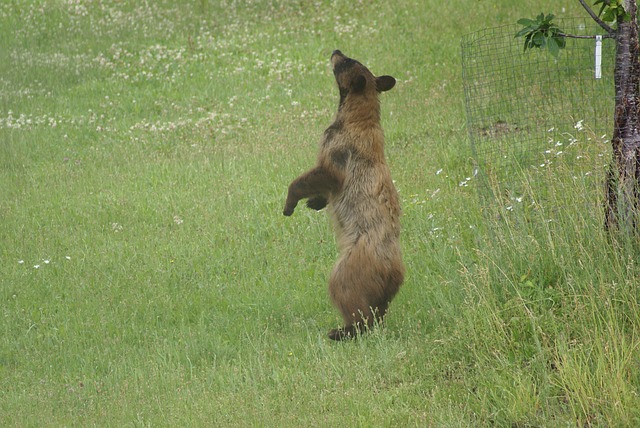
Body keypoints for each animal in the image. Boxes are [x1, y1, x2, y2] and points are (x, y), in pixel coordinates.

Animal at [283, 50, 404, 340]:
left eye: (348, 62)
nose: (336, 51)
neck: (357, 117)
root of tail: (393, 272)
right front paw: (315, 202)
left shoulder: (339, 147)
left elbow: (324, 174)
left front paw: (290, 203)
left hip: (350, 269)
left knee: (350, 297)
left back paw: (342, 331)